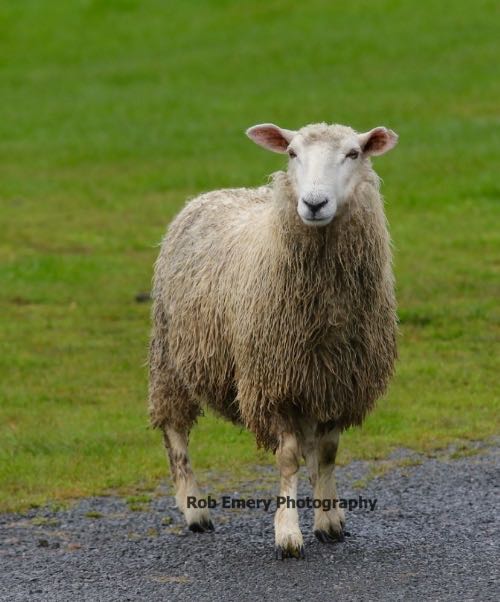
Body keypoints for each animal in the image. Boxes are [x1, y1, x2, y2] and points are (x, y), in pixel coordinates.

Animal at [147, 122, 398, 556]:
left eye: (353, 154)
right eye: (292, 153)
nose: (314, 203)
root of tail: (209, 195)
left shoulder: (337, 382)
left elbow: (327, 452)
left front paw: (328, 520)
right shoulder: (273, 384)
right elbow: (288, 458)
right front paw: (288, 533)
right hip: (171, 356)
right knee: (175, 432)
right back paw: (194, 510)